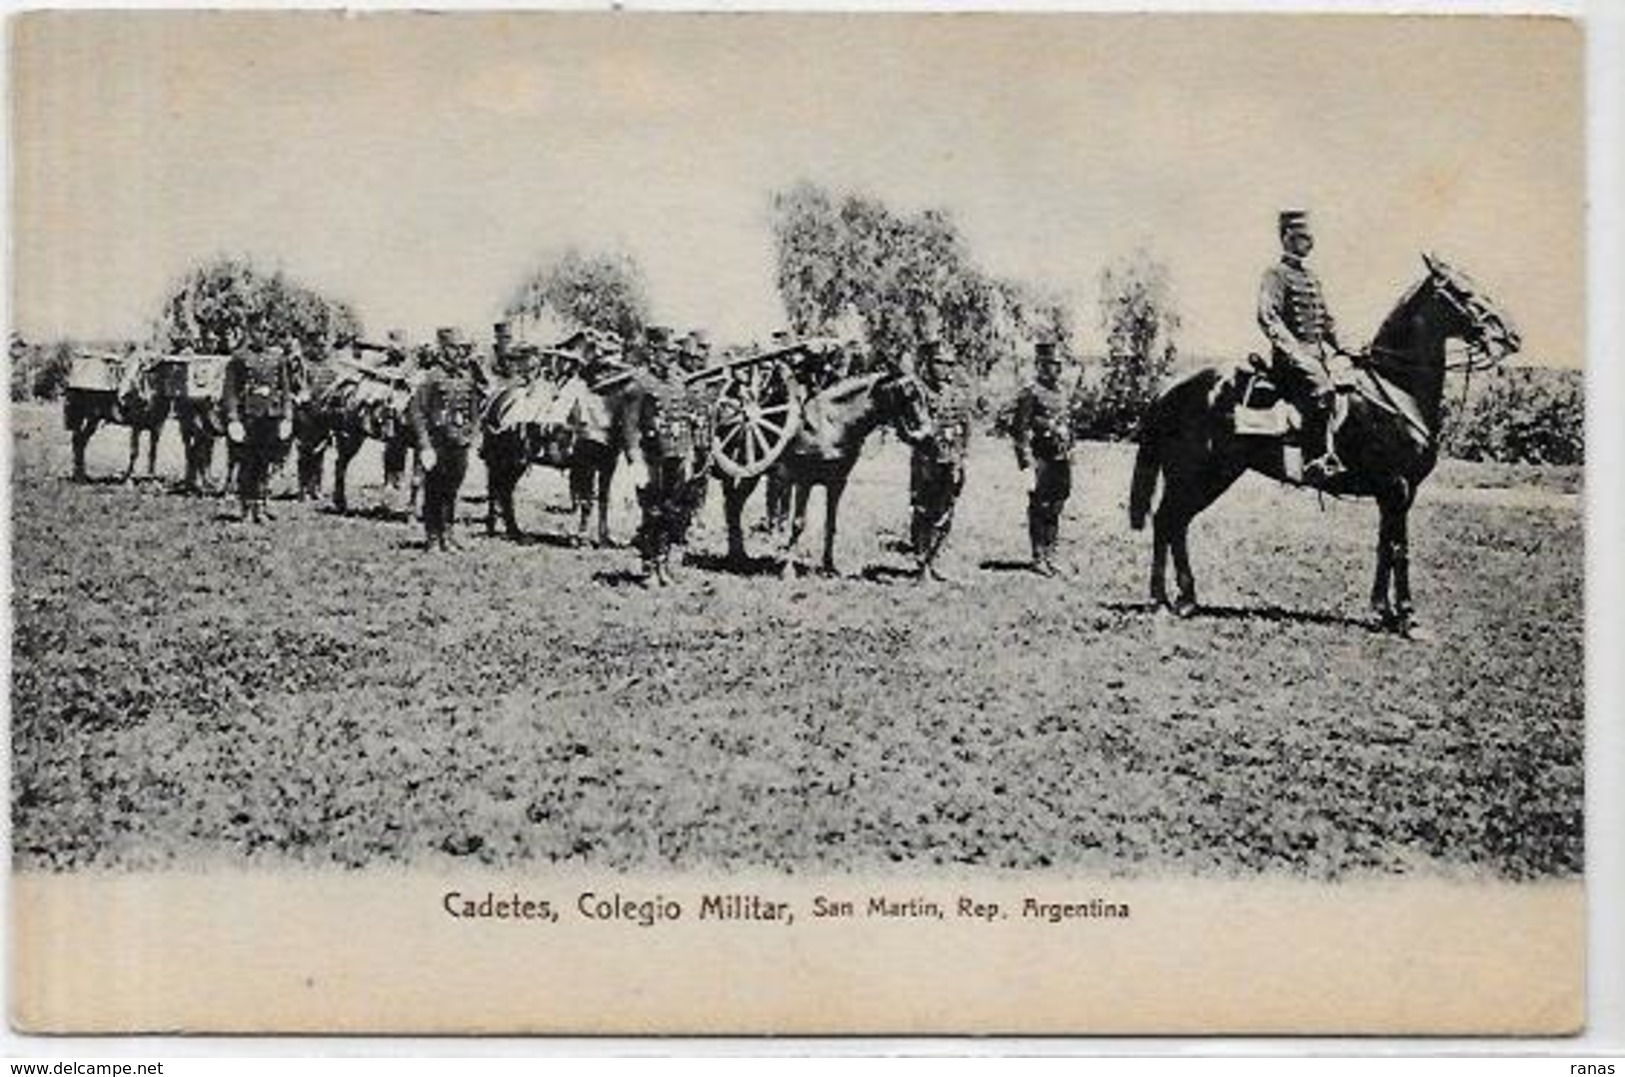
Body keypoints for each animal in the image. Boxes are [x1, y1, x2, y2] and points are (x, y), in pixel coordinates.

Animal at [721, 363, 936, 581]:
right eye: (909, 395)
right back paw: (737, 555)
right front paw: (788, 570)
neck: (831, 423)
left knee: (734, 505)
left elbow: (830, 524)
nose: (928, 436)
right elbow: (798, 523)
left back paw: (738, 555)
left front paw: (829, 567)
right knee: (733, 505)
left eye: (925, 396)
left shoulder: (837, 482)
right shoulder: (804, 481)